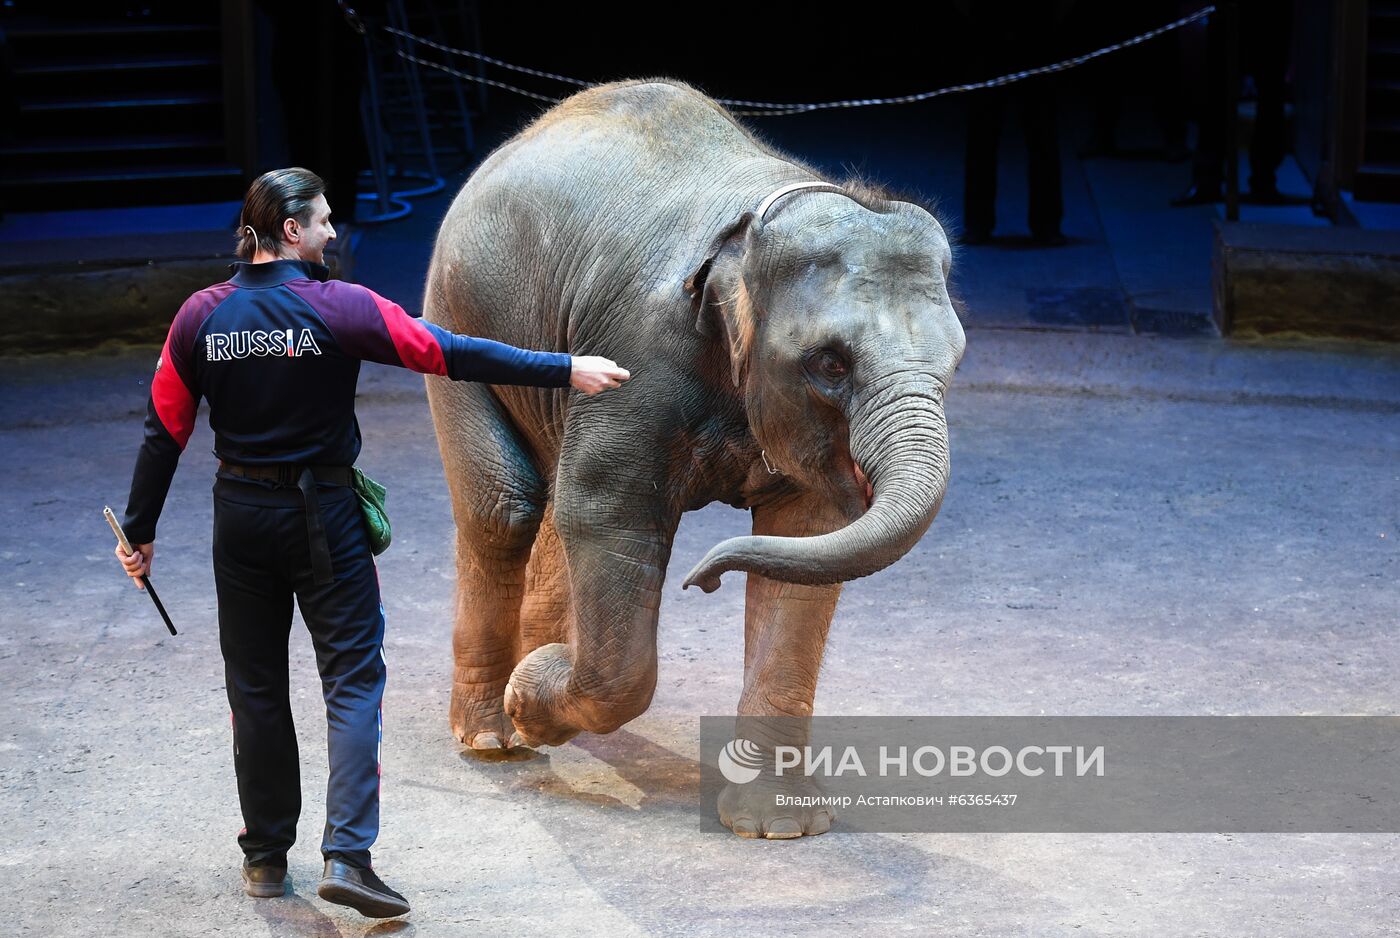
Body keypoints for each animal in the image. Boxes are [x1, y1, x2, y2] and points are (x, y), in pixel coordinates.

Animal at [417, 75, 963, 840]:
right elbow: (609, 512)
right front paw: (535, 695)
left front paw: (777, 827)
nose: (702, 579)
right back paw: (494, 737)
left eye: (955, 363)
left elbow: (809, 536)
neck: (753, 227)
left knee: (550, 502)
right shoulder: (638, 353)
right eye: (830, 363)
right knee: (507, 507)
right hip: (454, 315)